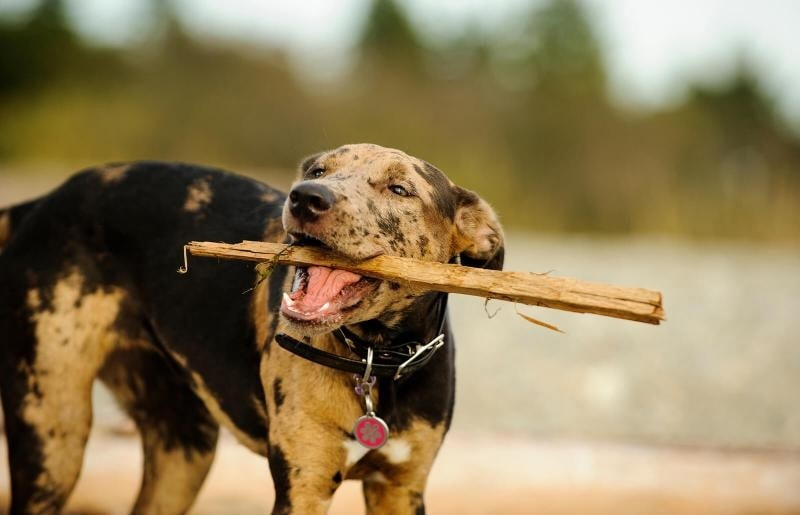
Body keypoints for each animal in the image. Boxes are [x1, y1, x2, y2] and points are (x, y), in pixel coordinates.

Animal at [0, 144, 504, 515]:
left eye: (400, 188)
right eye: (318, 169)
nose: (306, 196)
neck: (375, 359)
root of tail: (43, 203)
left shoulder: (400, 488)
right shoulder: (304, 485)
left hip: (183, 449)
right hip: (51, 437)